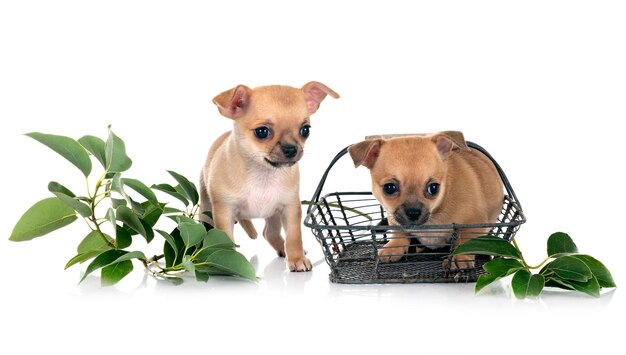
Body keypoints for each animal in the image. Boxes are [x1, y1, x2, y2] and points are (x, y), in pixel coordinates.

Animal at [346, 133, 502, 270]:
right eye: (389, 188)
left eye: (434, 188)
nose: (413, 213)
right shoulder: (394, 216)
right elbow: (399, 231)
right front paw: (394, 246)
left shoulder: (475, 222)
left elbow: (465, 241)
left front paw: (459, 258)